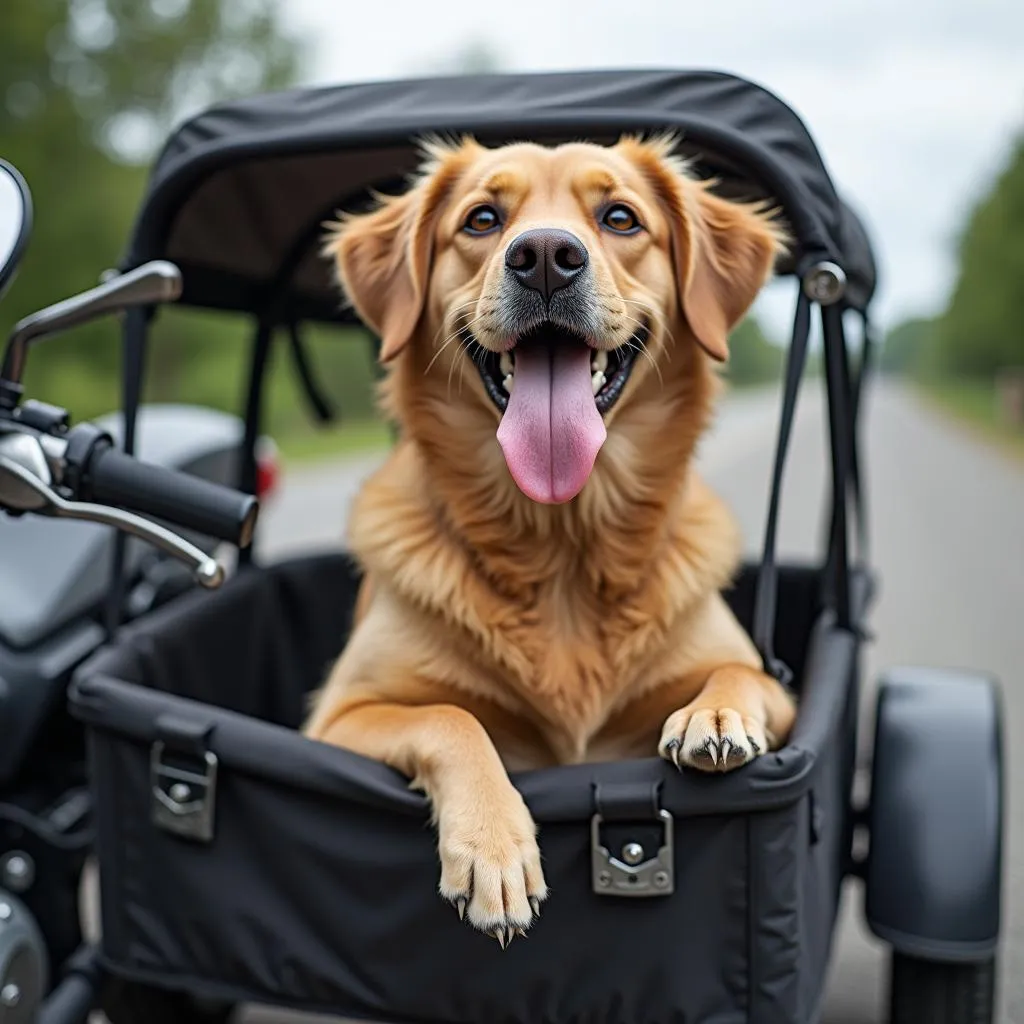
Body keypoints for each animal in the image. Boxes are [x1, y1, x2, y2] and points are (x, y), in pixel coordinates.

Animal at [303, 134, 798, 942]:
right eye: (481, 219)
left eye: (620, 216)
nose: (542, 257)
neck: (562, 539)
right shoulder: (336, 719)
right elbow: (451, 715)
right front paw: (494, 847)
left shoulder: (769, 683)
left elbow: (742, 674)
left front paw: (715, 713)